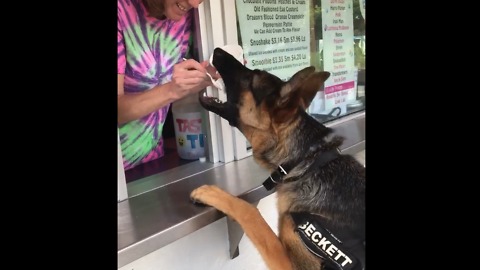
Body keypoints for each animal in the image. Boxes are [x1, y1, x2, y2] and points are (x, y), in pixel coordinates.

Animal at [189, 48, 366, 270]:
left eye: (250, 78)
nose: (218, 51)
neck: (306, 161)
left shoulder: (289, 263)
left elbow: (250, 212)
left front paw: (212, 193)